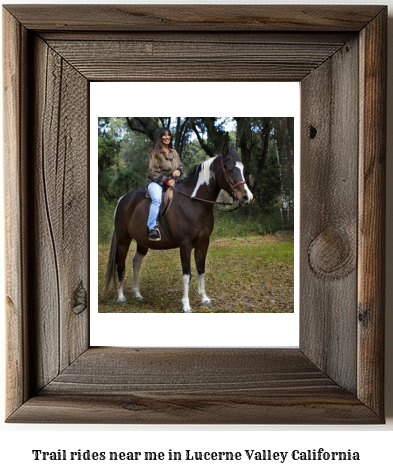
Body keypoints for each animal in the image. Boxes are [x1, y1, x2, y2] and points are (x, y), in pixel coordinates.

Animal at [102, 145, 253, 314]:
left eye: (242, 168)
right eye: (229, 168)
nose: (247, 197)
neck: (194, 202)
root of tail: (123, 199)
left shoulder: (203, 243)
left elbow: (201, 270)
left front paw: (205, 298)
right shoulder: (185, 245)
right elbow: (187, 275)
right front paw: (186, 305)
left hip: (142, 243)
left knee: (136, 263)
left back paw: (137, 294)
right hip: (123, 241)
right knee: (120, 265)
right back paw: (121, 297)